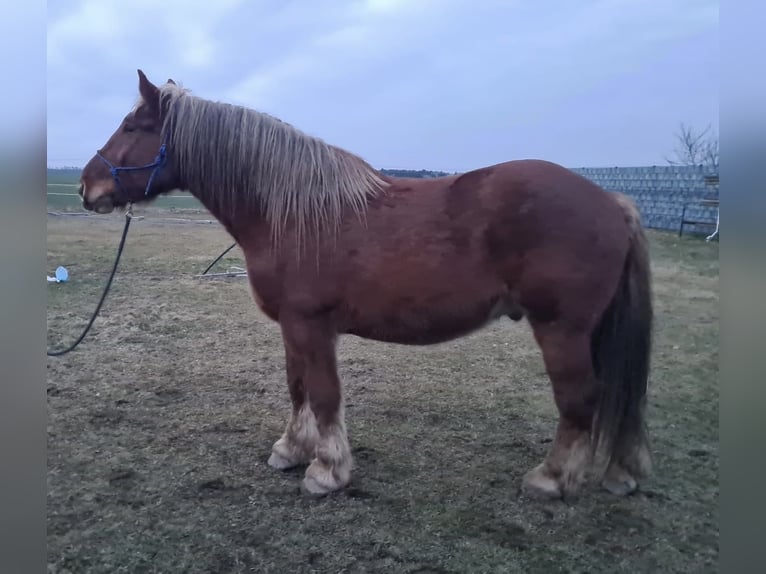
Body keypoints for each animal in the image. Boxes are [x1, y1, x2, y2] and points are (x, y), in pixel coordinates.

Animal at [78, 69, 653, 500]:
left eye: (131, 126)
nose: (88, 187)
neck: (293, 213)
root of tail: (612, 202)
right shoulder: (292, 327)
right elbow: (298, 388)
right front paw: (291, 451)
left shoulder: (311, 325)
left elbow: (325, 395)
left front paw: (326, 471)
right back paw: (621, 472)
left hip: (562, 329)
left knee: (579, 399)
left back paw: (550, 479)